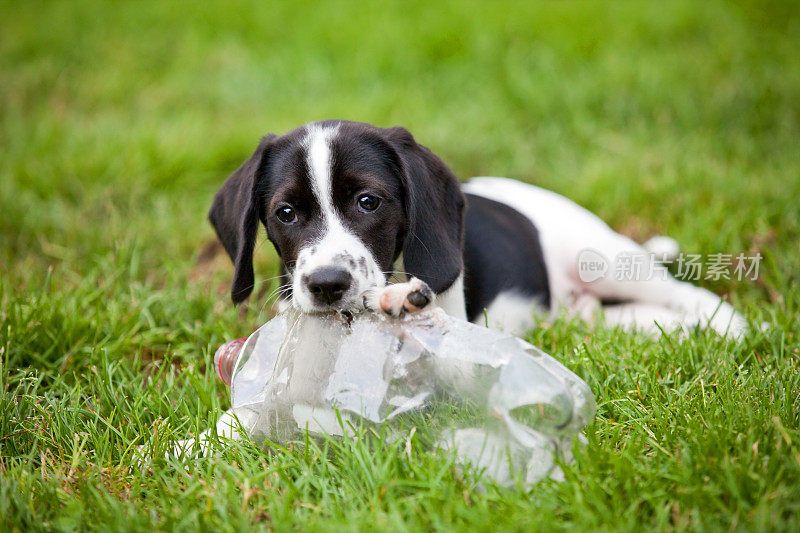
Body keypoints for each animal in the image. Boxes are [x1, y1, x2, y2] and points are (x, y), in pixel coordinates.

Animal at [209, 119, 748, 336]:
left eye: (368, 202)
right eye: (285, 213)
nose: (326, 285)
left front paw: (401, 300)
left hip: (603, 259)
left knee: (685, 293)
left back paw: (737, 328)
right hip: (592, 312)